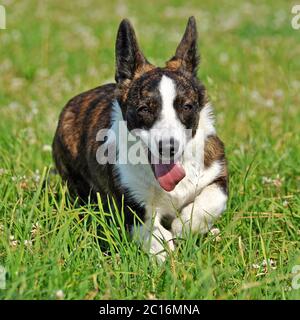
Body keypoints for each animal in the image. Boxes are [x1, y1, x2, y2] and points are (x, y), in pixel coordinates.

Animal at [52, 16, 229, 260]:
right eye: (144, 109)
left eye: (187, 106)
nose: (168, 148)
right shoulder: (131, 209)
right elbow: (155, 235)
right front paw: (166, 253)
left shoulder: (217, 174)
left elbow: (211, 201)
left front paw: (185, 226)